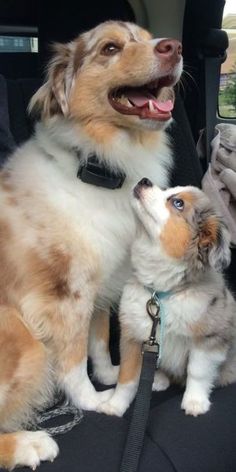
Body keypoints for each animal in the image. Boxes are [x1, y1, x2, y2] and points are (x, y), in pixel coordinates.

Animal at [0, 21, 183, 468]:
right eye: (110, 48)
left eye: (148, 37)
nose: (174, 46)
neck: (99, 170)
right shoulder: (67, 295)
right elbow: (73, 359)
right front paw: (95, 401)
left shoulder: (102, 286)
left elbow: (97, 342)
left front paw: (111, 376)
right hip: (22, 335)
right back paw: (30, 443)